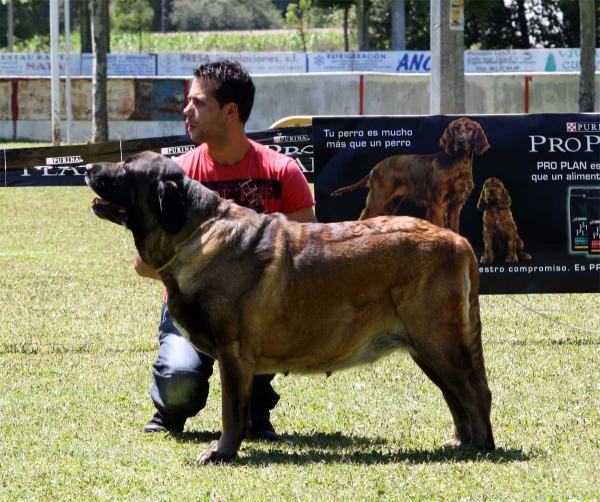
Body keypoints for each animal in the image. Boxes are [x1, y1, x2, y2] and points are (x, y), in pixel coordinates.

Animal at [85, 151, 496, 464]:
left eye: (126, 170)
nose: (88, 168)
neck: (196, 231)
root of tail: (458, 240)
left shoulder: (234, 353)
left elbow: (231, 411)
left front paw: (222, 452)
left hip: (438, 340)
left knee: (474, 391)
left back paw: (481, 447)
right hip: (426, 346)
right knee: (454, 394)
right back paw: (460, 441)